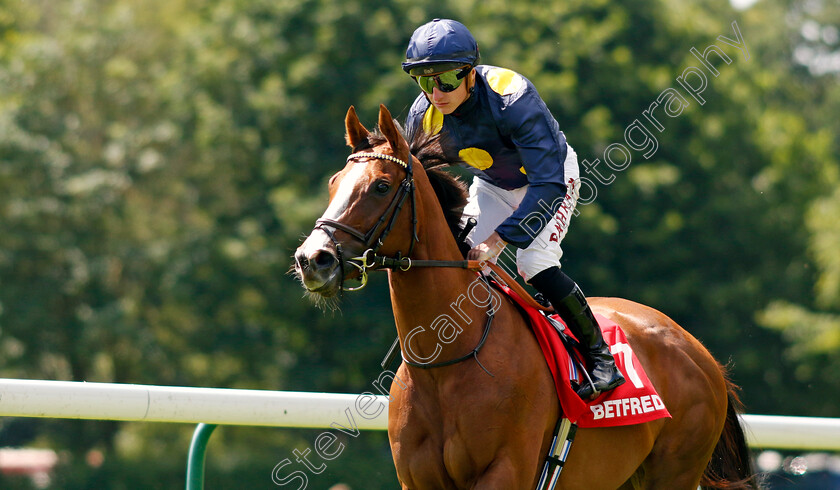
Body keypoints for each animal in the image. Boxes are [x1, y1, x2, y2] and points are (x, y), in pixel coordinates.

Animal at [294, 105, 756, 488]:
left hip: (674, 471)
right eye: (334, 183)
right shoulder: (417, 480)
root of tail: (701, 354)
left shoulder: (504, 472)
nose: (313, 259)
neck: (446, 361)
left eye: (381, 186)